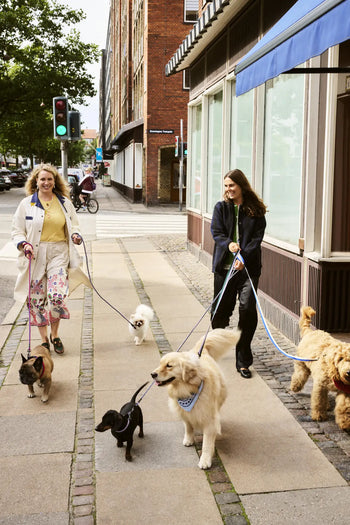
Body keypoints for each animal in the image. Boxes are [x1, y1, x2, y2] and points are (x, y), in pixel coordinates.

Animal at [150, 330, 241, 468]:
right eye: (160, 364)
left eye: (169, 366)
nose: (152, 374)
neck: (188, 389)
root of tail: (199, 351)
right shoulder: (185, 413)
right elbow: (188, 426)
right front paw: (189, 439)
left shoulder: (209, 420)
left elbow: (207, 444)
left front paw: (205, 460)